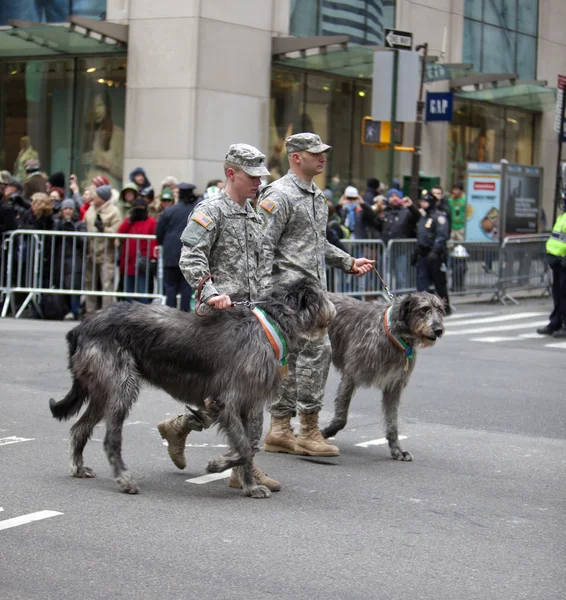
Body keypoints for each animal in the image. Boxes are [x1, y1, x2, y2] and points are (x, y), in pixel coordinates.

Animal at [50, 278, 338, 500]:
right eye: (323, 292)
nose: (335, 308)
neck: (270, 323)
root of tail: (81, 327)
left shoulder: (246, 404)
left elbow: (247, 447)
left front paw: (250, 486)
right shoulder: (228, 401)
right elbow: (244, 447)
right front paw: (217, 465)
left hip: (102, 389)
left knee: (79, 429)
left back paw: (78, 467)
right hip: (121, 384)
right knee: (111, 438)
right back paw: (124, 479)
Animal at [322, 292, 446, 460]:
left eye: (440, 310)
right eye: (423, 309)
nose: (439, 329)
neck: (392, 334)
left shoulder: (394, 386)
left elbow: (392, 422)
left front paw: (397, 450)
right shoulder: (350, 376)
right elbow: (342, 418)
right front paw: (325, 433)